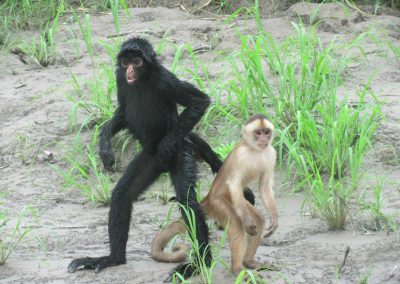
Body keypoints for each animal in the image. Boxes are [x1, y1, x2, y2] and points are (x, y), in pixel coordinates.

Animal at [65, 37, 253, 280]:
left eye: (137, 61)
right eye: (125, 62)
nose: (130, 70)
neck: (141, 81)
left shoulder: (164, 79)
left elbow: (199, 102)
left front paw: (167, 142)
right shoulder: (120, 80)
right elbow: (123, 111)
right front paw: (105, 143)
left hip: (181, 155)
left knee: (188, 204)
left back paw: (200, 264)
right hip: (149, 159)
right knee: (121, 196)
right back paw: (113, 259)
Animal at [151, 113, 278, 276]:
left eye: (266, 132)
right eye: (258, 132)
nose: (263, 139)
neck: (254, 150)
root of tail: (207, 198)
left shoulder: (271, 153)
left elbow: (264, 187)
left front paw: (274, 218)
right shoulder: (241, 155)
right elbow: (234, 185)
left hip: (235, 203)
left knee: (258, 219)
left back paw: (249, 262)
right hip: (219, 203)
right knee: (237, 224)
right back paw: (237, 269)